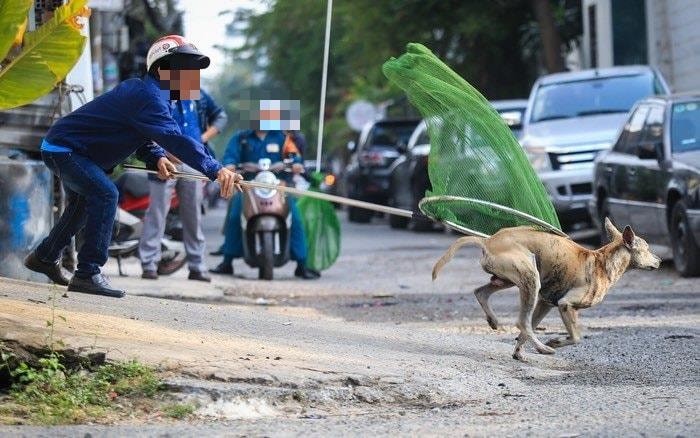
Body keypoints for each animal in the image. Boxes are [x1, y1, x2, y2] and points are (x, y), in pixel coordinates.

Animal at [432, 218, 660, 360]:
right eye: (647, 248)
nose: (659, 260)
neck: (602, 262)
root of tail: (488, 240)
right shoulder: (565, 305)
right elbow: (575, 337)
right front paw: (556, 341)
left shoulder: (546, 304)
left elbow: (527, 331)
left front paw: (518, 352)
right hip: (530, 277)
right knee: (521, 321)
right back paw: (543, 347)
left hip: (508, 281)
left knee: (483, 293)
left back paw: (494, 321)